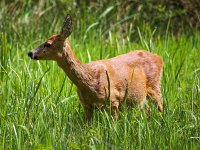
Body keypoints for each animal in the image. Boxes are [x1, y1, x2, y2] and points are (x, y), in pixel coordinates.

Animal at [27, 13, 162, 122]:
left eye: (48, 44)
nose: (30, 53)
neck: (89, 80)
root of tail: (159, 58)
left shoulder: (113, 100)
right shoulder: (86, 105)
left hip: (154, 85)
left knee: (160, 106)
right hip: (139, 98)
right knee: (148, 109)